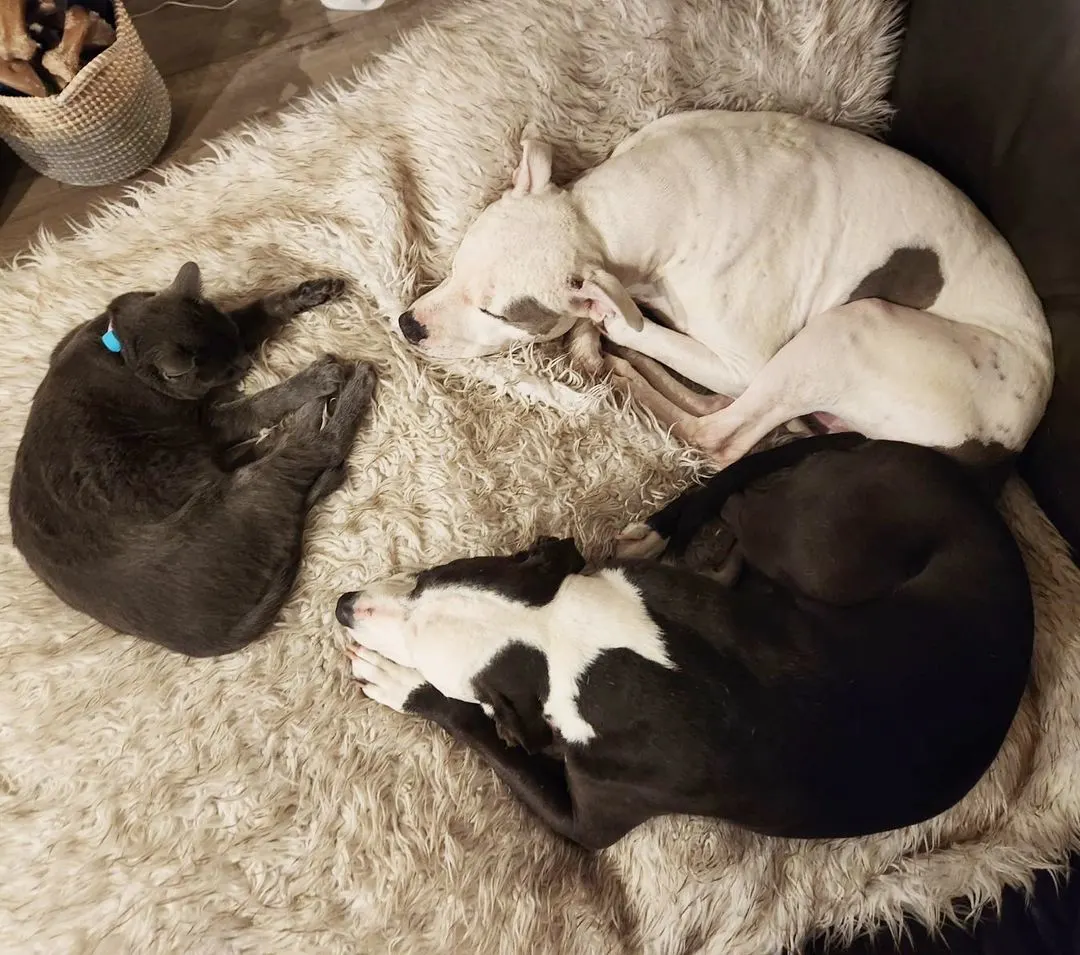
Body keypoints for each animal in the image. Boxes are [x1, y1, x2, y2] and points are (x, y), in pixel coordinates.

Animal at [9, 264, 375, 661]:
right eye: (226, 372)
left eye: (235, 347)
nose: (246, 365)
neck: (119, 354)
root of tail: (204, 641)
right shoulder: (211, 421)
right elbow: (261, 402)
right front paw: (314, 380)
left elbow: (260, 309)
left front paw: (315, 289)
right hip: (242, 491)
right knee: (319, 448)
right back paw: (341, 389)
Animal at [334, 434, 1028, 851]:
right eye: (426, 576)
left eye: (426, 658)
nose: (342, 606)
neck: (575, 641)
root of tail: (979, 495)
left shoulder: (584, 824)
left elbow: (481, 731)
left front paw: (400, 684)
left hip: (817, 548)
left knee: (750, 502)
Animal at [399, 111, 1054, 471]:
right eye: (455, 267)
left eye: (498, 312)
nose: (407, 325)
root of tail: (1011, 445)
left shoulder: (744, 360)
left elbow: (624, 320)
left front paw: (603, 330)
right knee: (716, 411)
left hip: (858, 327)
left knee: (714, 435)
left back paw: (619, 376)